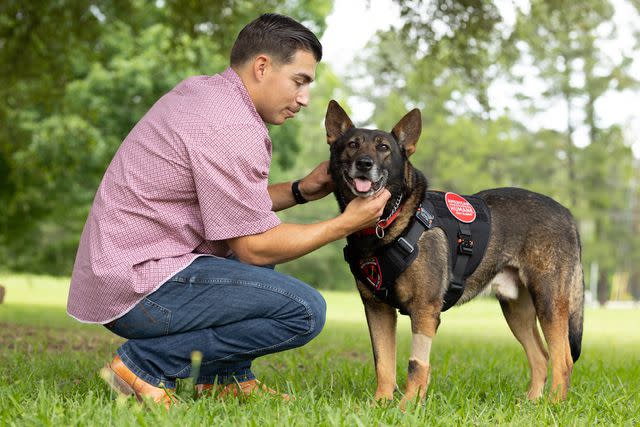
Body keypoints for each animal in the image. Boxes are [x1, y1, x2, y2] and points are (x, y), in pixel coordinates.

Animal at [324, 99, 584, 408]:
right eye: (352, 145)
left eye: (384, 148)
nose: (364, 164)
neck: (391, 222)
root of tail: (567, 214)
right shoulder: (377, 310)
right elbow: (383, 363)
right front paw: (381, 405)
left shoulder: (424, 310)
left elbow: (416, 364)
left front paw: (407, 407)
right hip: (516, 311)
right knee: (541, 357)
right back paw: (532, 404)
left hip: (548, 302)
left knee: (563, 360)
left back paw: (553, 405)